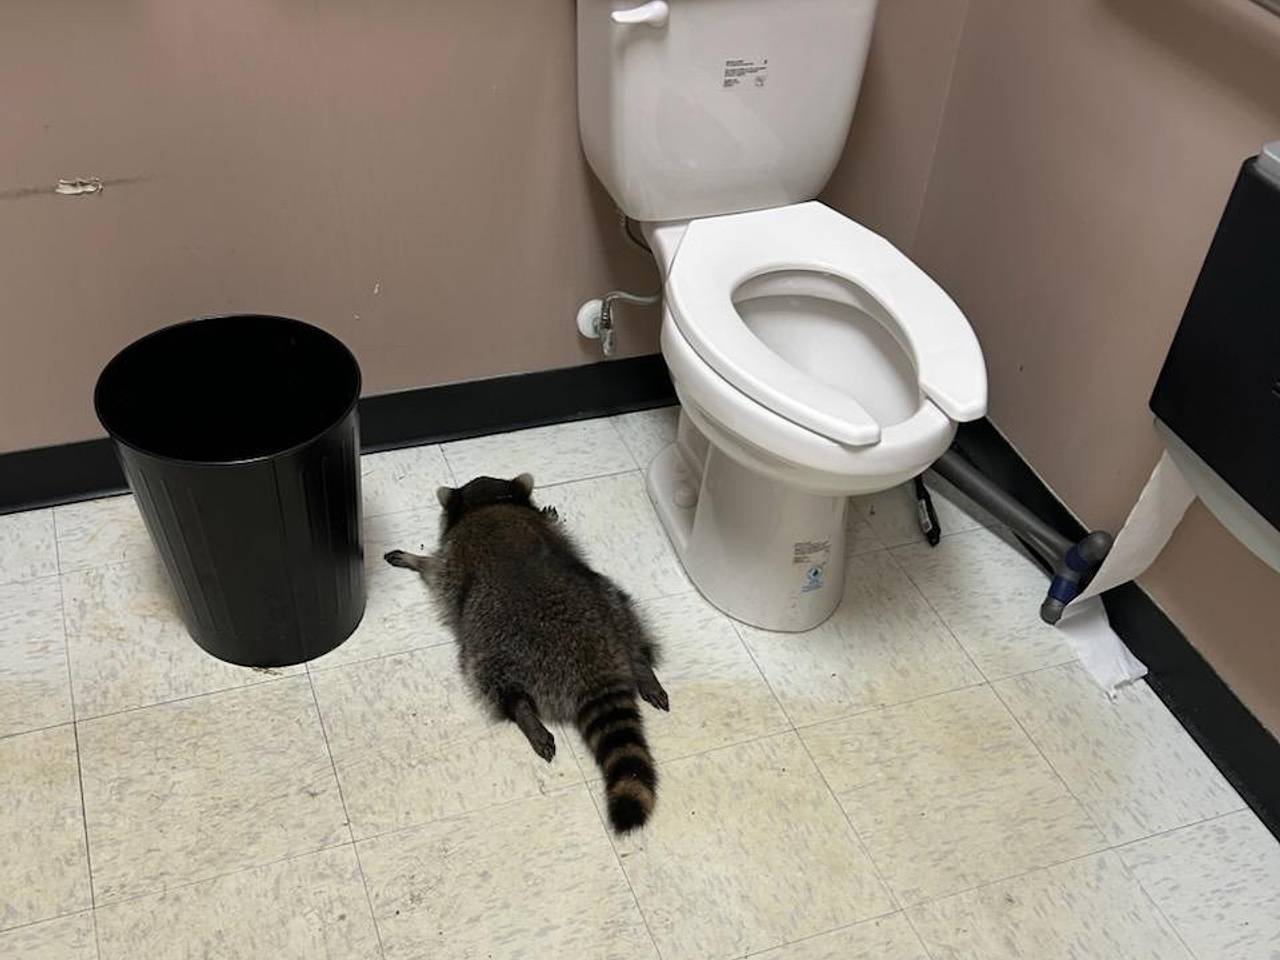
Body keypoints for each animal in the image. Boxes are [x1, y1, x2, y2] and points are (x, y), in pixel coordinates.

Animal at [384, 473, 669, 833]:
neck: (490, 503)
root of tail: (593, 664)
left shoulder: (453, 560)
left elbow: (435, 570)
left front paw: (415, 559)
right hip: (611, 602)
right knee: (628, 619)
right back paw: (641, 665)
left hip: (495, 646)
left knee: (490, 679)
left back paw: (523, 712)